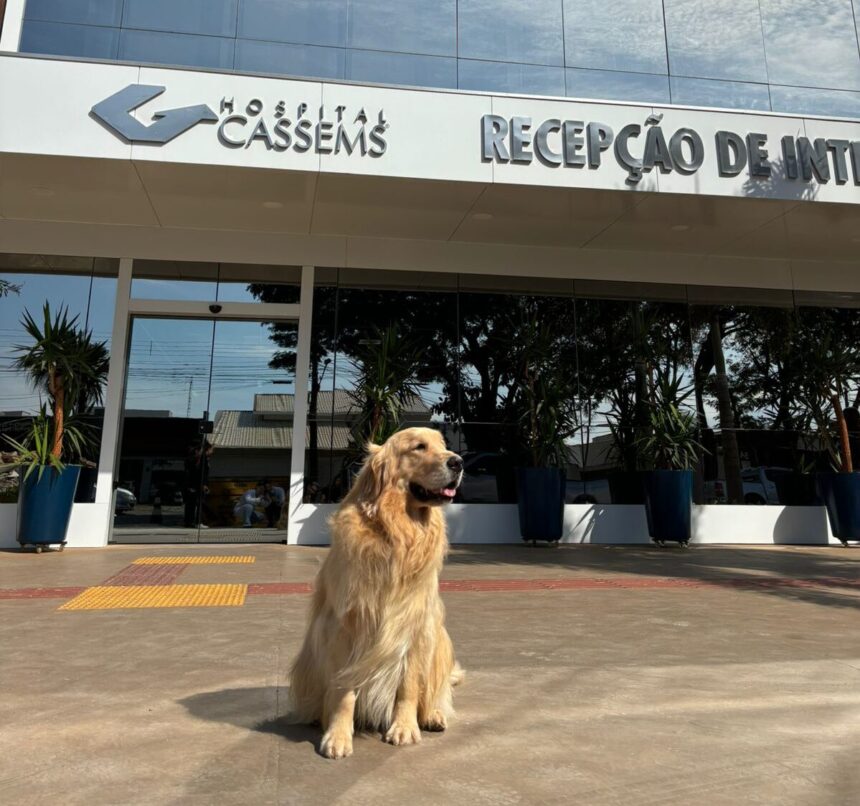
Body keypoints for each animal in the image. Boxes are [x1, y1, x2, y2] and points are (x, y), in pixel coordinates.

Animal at [288, 426, 464, 760]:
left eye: (443, 444)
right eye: (419, 447)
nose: (458, 462)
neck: (397, 531)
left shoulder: (416, 624)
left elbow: (409, 687)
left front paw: (404, 727)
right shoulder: (344, 627)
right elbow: (344, 690)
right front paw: (338, 735)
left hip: (440, 639)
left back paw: (432, 715)